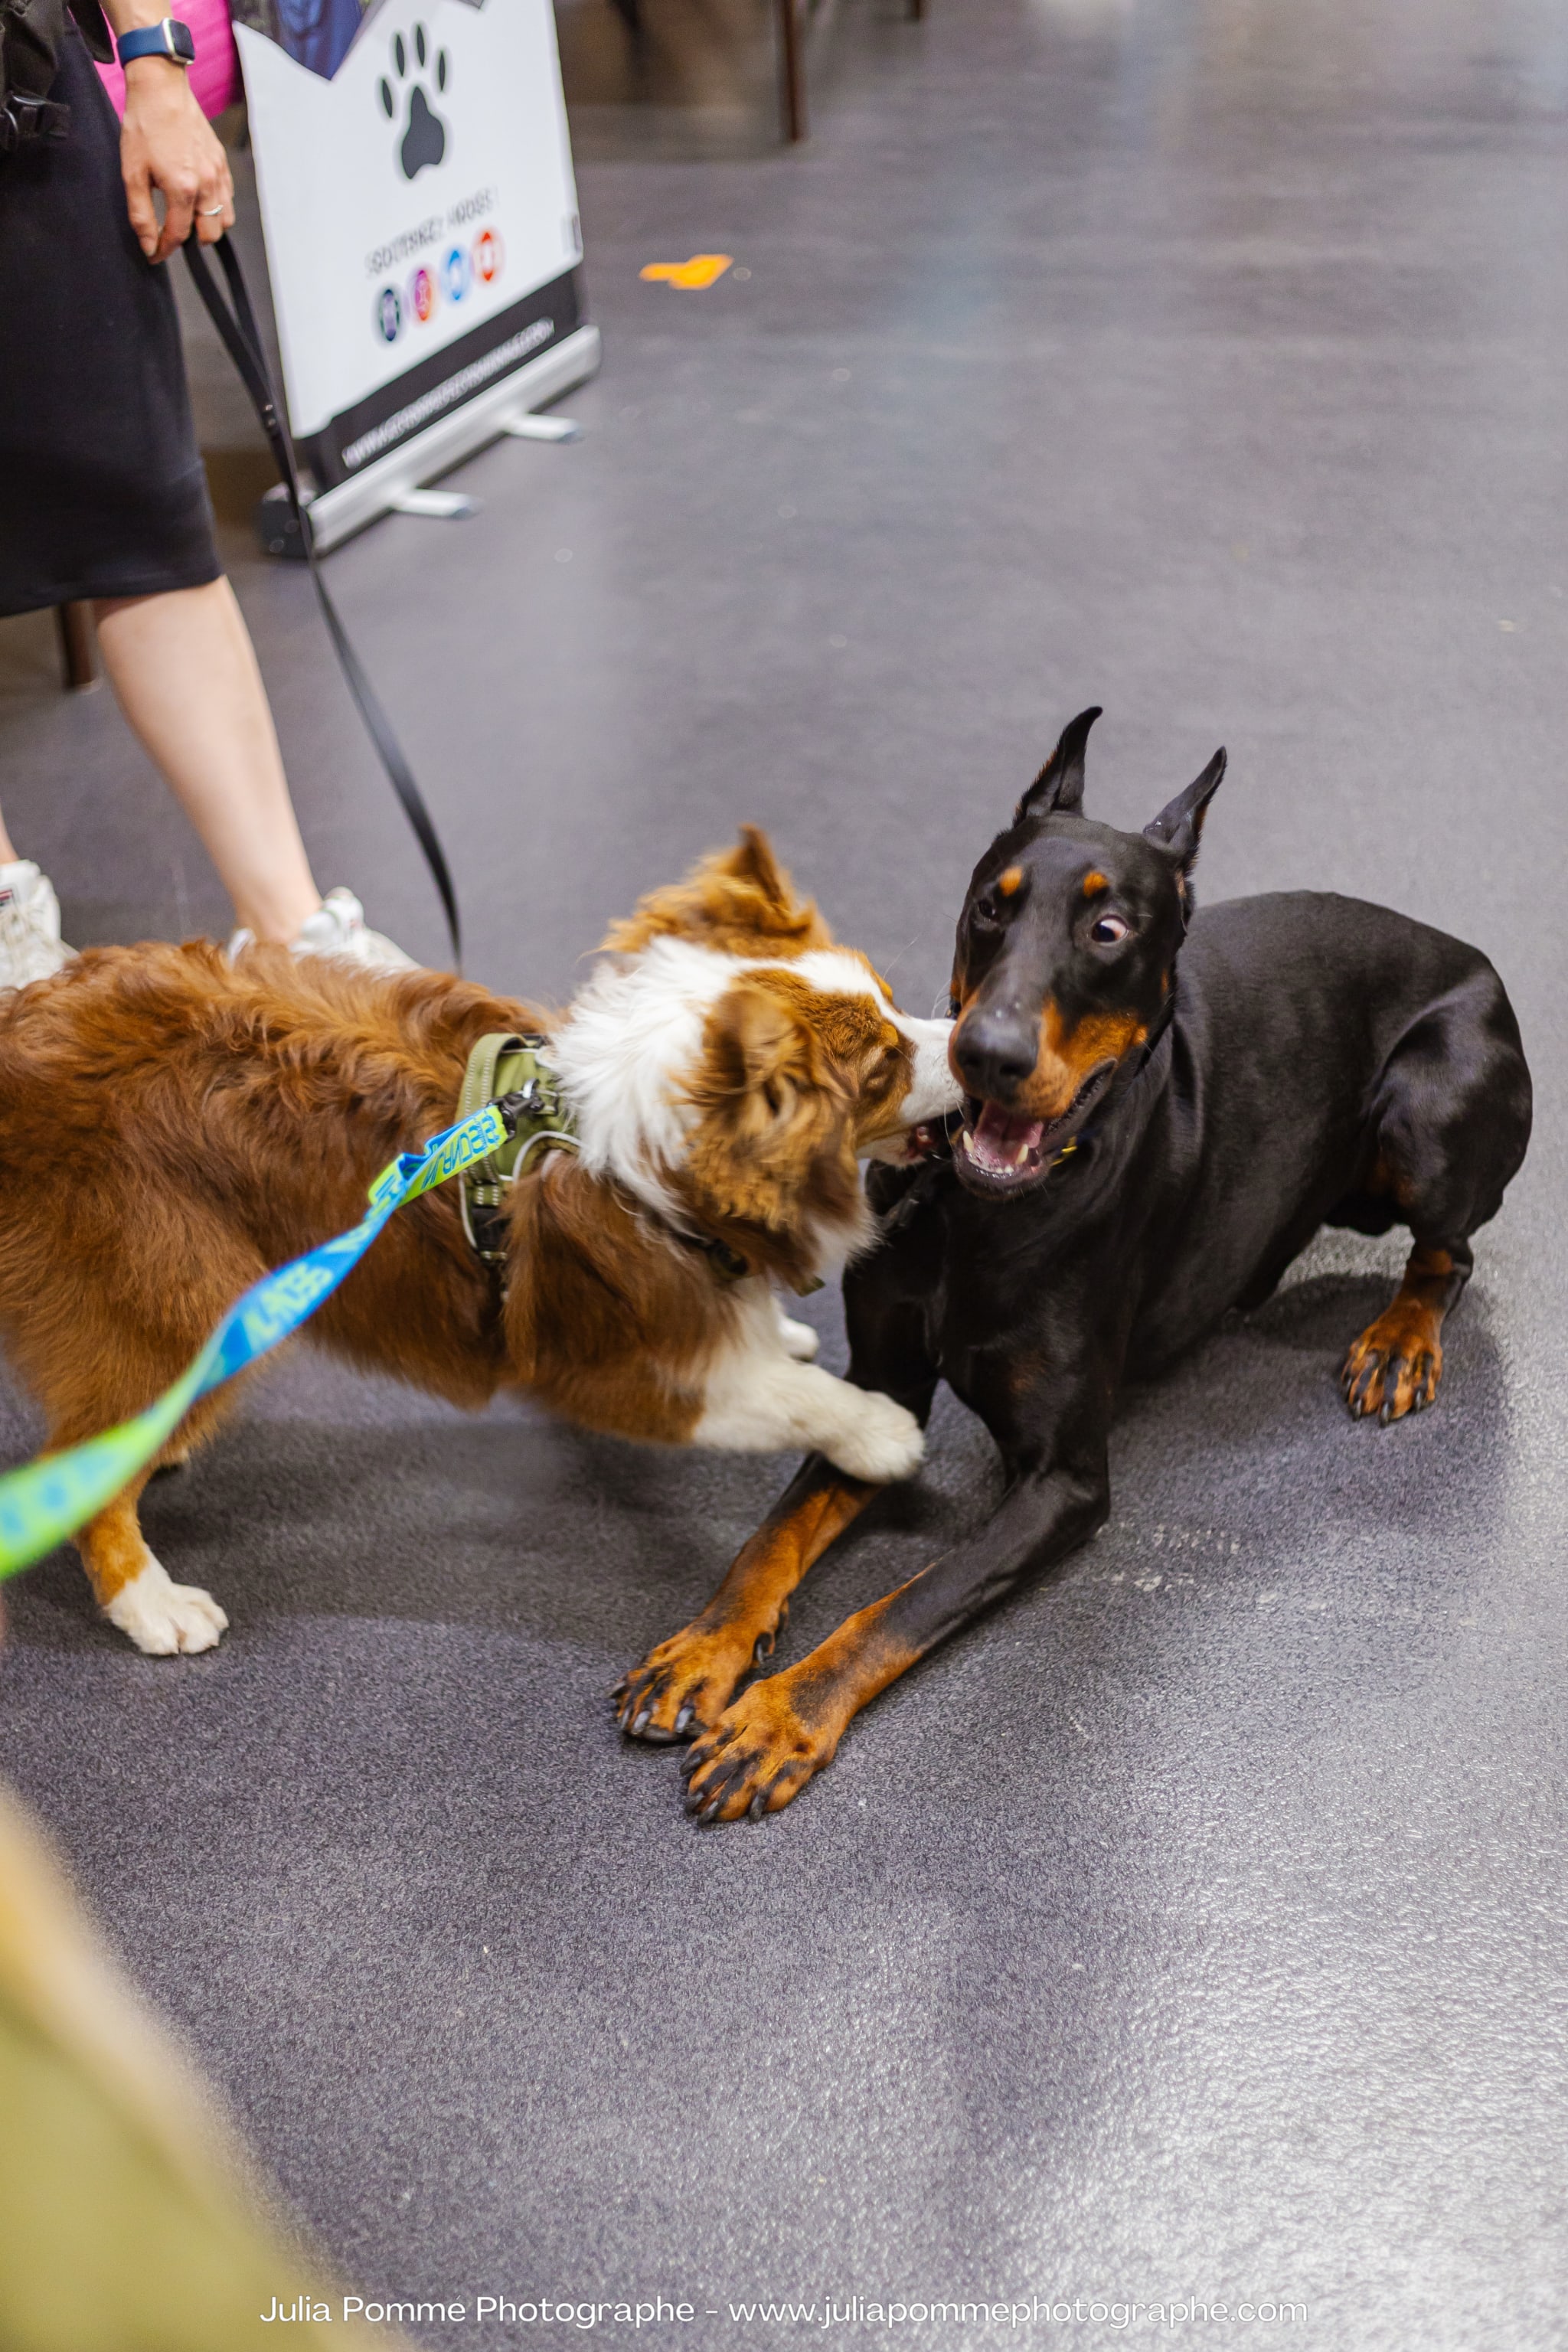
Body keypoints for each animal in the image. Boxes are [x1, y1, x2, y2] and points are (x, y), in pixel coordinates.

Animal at [0, 828, 959, 1655]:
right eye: (883, 1065)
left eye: (891, 1004)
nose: (975, 1045)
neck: (639, 1152)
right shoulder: (603, 1367)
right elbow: (781, 1396)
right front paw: (877, 1430)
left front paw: (777, 1332)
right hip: (177, 1290)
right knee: (91, 1478)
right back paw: (152, 1601)